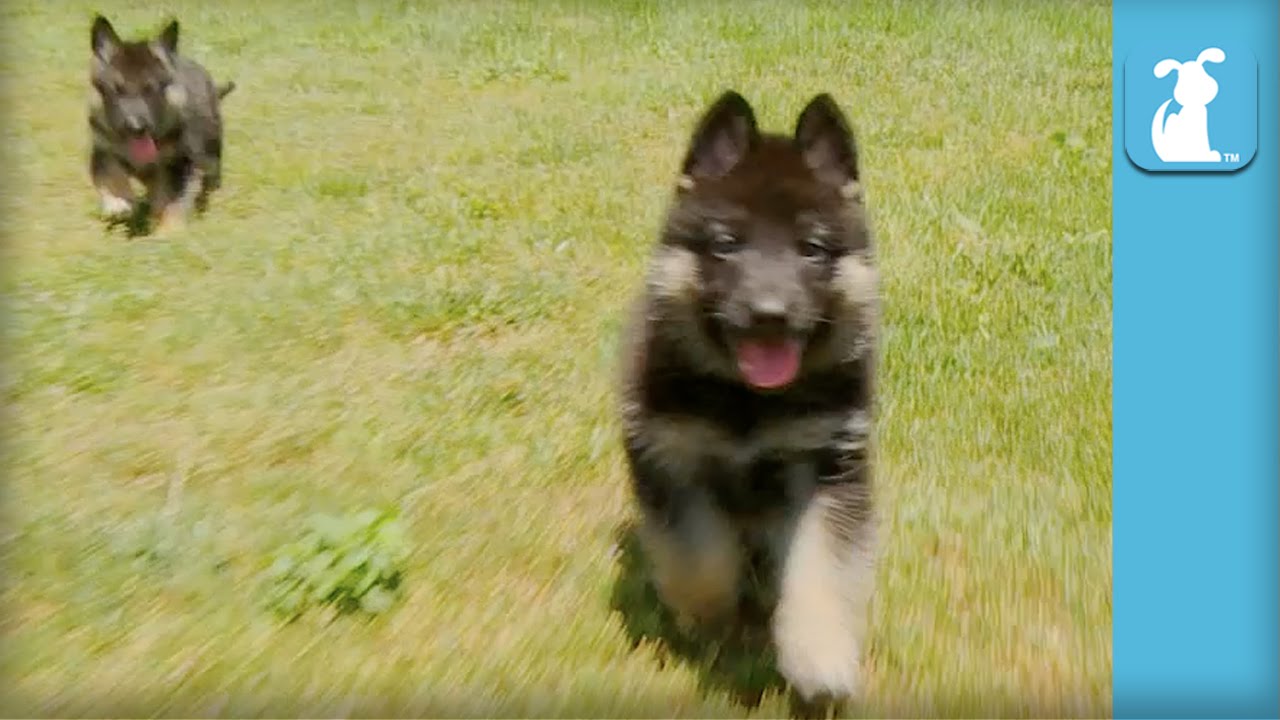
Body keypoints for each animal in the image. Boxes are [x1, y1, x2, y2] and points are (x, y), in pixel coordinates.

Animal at [88, 15, 236, 233]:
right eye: (117, 90)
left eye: (151, 89)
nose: (136, 127)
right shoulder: (103, 152)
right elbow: (110, 175)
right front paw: (118, 203)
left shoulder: (178, 164)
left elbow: (170, 200)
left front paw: (169, 231)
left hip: (210, 151)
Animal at [618, 90, 879, 716]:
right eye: (725, 244)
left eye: (813, 249)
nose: (769, 316)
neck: (747, 402)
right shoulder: (671, 456)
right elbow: (700, 553)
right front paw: (708, 618)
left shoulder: (828, 465)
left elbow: (820, 564)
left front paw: (819, 656)